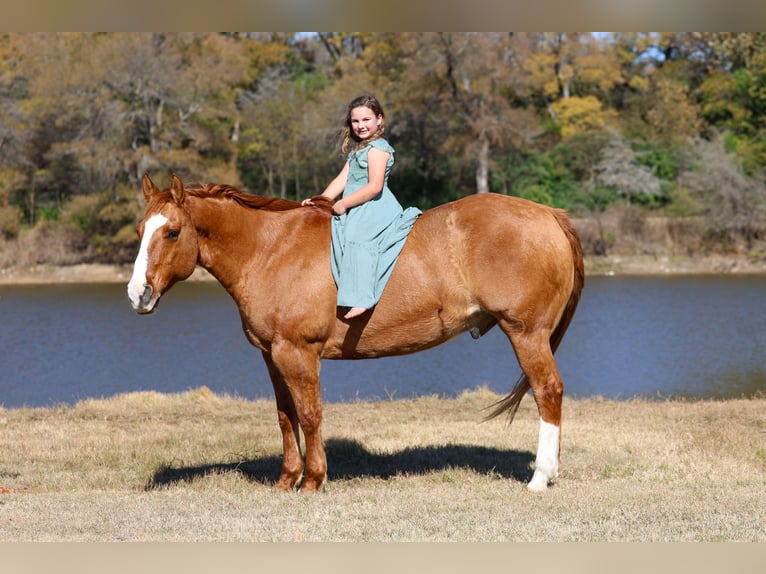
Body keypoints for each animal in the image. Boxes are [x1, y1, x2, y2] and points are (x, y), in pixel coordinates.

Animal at [128, 173, 584, 492]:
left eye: (172, 232)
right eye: (139, 231)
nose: (137, 294)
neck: (273, 249)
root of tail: (549, 215)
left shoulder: (298, 353)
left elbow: (310, 415)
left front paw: (313, 480)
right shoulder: (272, 354)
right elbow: (285, 416)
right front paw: (286, 479)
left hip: (526, 334)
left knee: (548, 391)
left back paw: (540, 477)